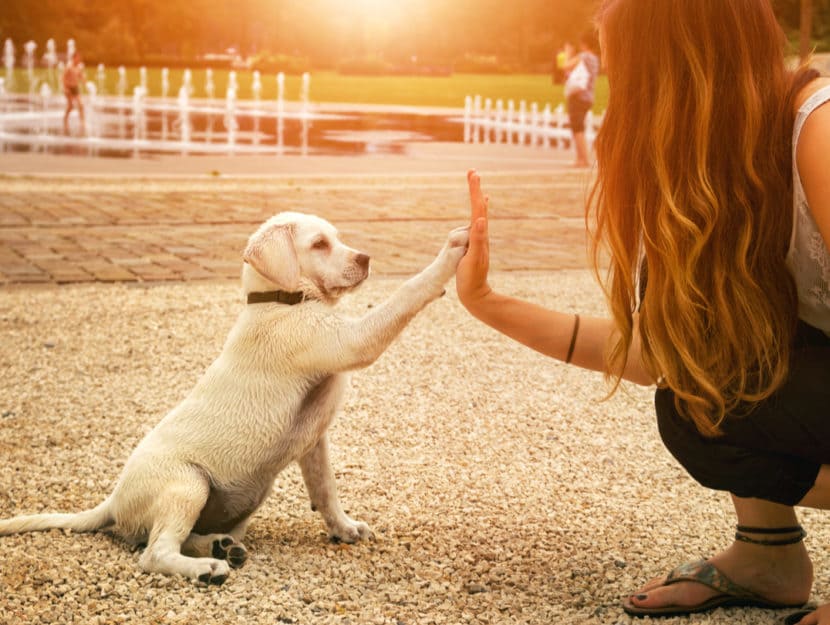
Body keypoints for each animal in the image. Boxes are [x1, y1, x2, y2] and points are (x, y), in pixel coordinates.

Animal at [0, 212, 468, 584]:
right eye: (319, 244)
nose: (366, 258)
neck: (279, 300)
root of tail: (113, 501)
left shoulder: (315, 441)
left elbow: (326, 490)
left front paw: (344, 527)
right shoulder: (353, 340)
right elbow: (406, 294)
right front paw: (450, 254)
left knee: (176, 538)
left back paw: (220, 547)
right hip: (188, 483)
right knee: (153, 554)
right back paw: (207, 568)